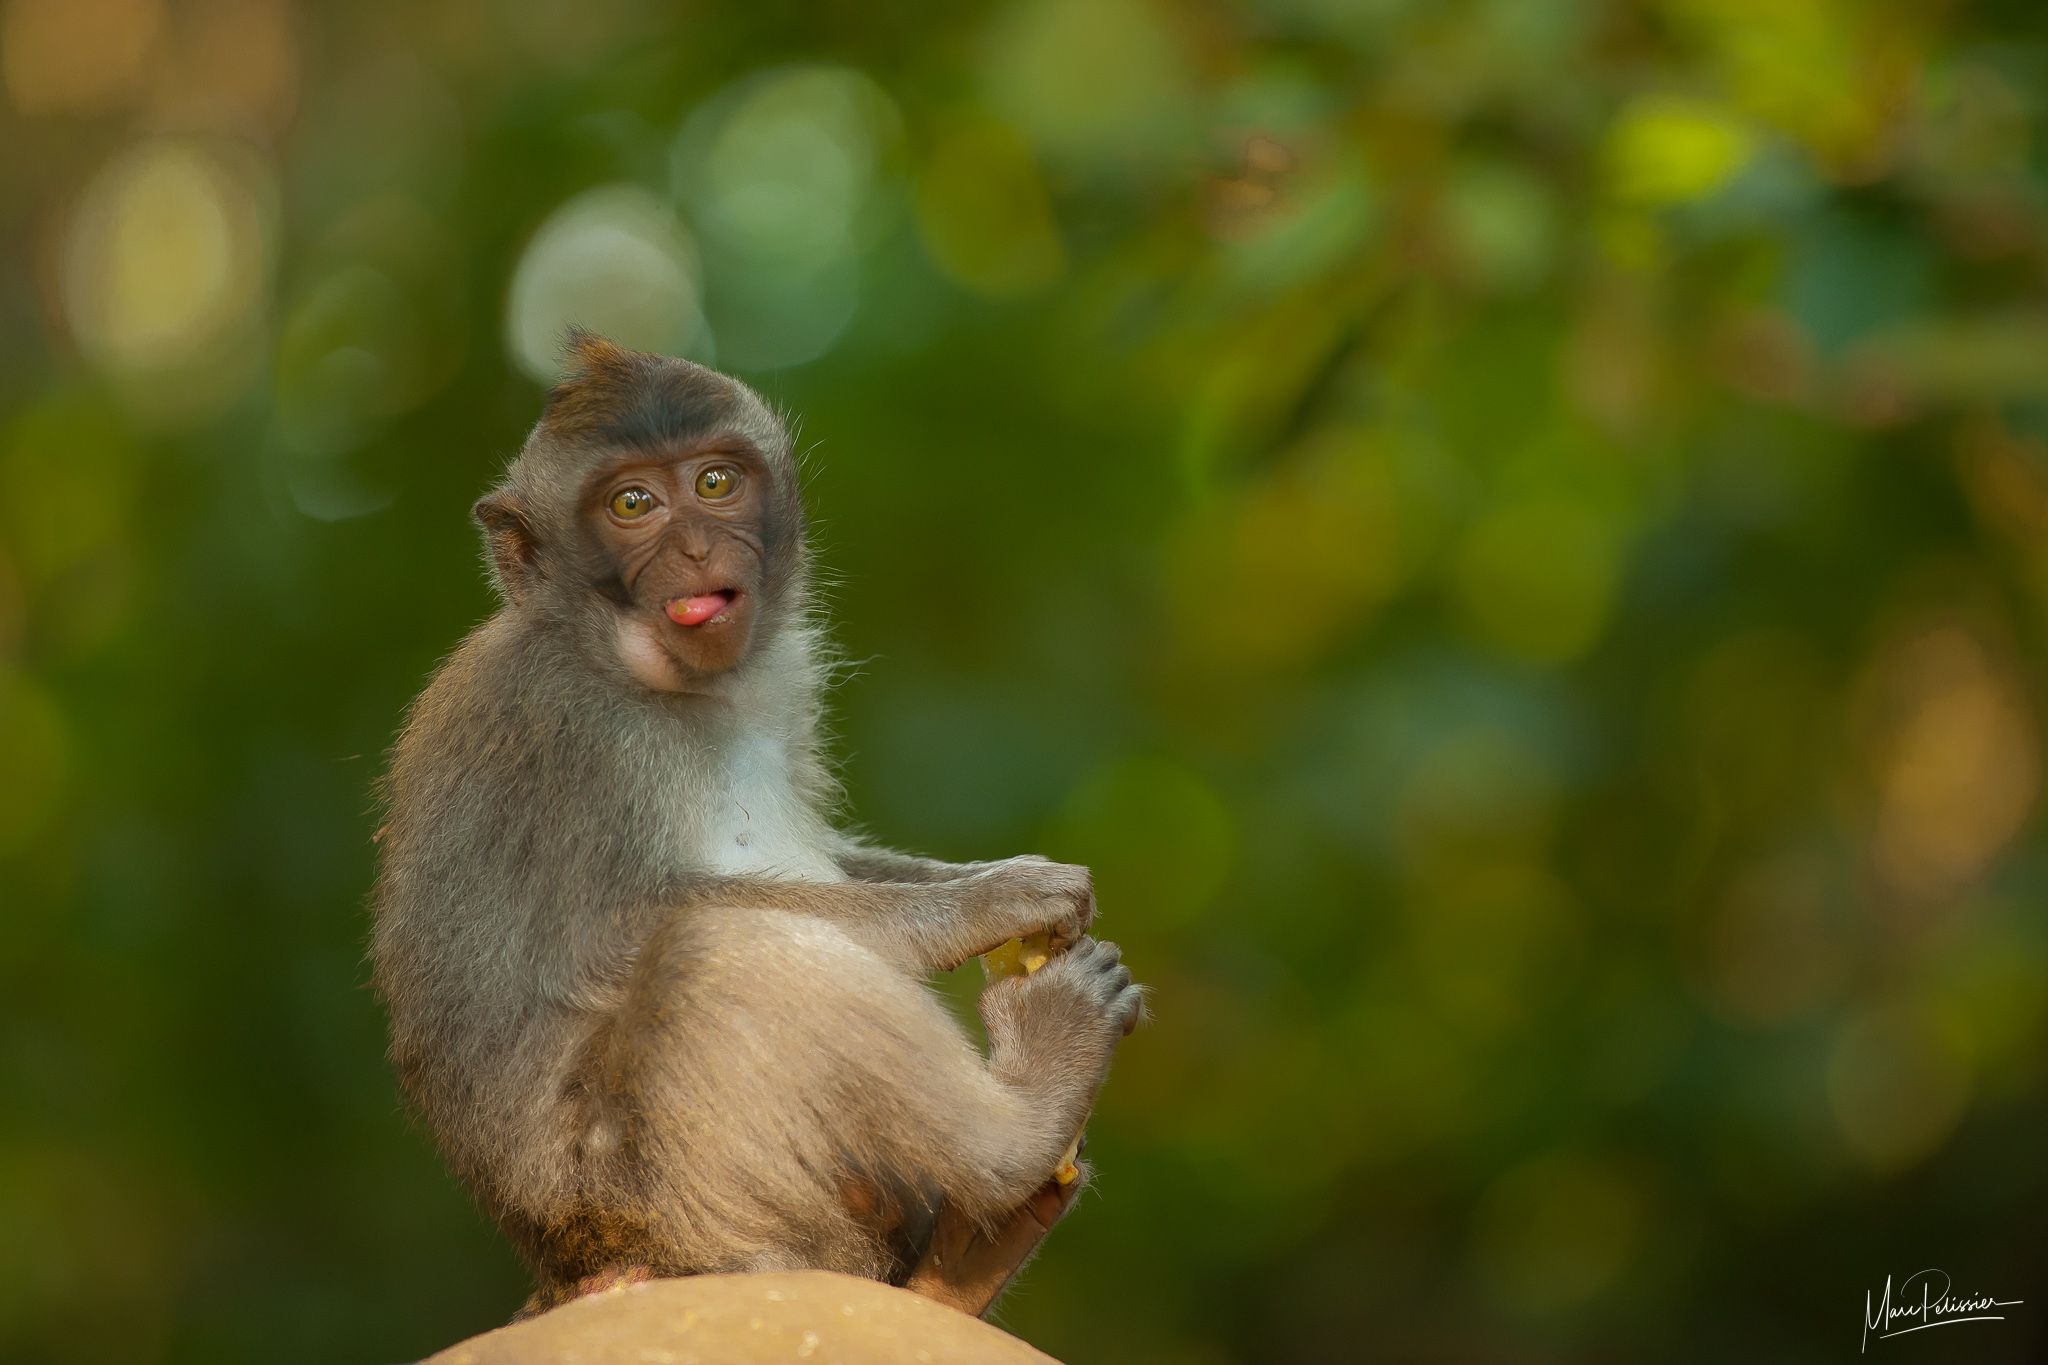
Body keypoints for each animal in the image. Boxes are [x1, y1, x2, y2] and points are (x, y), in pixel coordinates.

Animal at [369, 332, 1144, 1319]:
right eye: (632, 504)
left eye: (714, 482)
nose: (699, 546)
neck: (670, 682)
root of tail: (574, 1271)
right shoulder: (566, 724)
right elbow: (612, 934)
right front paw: (994, 901)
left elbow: (835, 857)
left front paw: (989, 876)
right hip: (665, 1200)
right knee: (718, 954)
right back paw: (1020, 1126)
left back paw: (961, 1263)